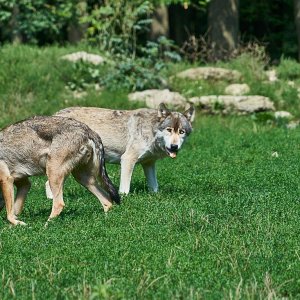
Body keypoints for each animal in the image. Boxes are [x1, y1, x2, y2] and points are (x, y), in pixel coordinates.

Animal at [51, 103, 195, 195]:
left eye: (181, 132)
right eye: (169, 130)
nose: (174, 147)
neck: (150, 130)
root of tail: (56, 114)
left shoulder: (148, 164)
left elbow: (154, 187)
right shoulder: (127, 160)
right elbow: (125, 189)